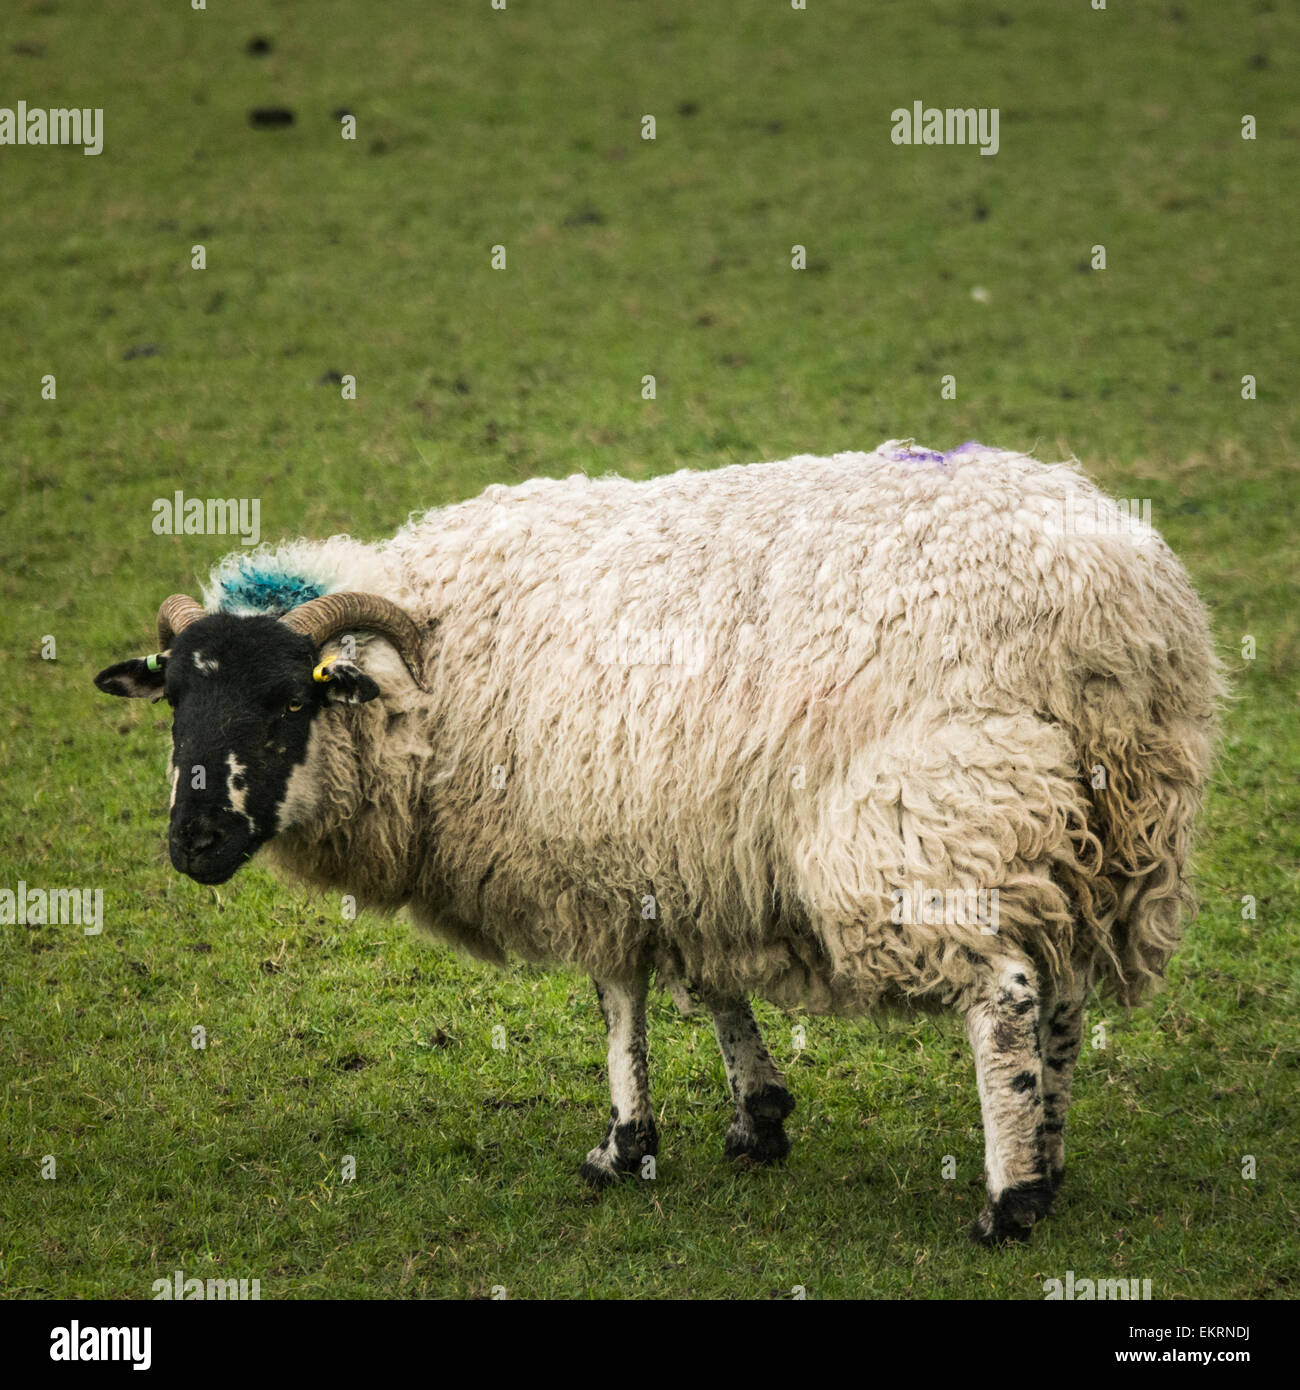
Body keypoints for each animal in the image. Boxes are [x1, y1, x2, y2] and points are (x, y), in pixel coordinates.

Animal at [96, 439, 1223, 1245]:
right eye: (177, 698)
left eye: (289, 703)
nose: (194, 841)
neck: (437, 676)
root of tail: (1119, 611)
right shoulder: (677, 843)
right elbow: (708, 980)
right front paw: (757, 1116)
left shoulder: (589, 856)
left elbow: (618, 1001)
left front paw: (622, 1147)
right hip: (1092, 832)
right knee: (1065, 994)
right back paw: (1050, 1161)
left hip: (937, 819)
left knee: (1008, 997)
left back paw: (1007, 1200)